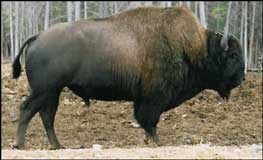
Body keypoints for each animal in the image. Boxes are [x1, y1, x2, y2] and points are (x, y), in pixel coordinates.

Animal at [11, 5, 245, 149]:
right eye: (233, 55)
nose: (242, 77)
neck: (196, 49)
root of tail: (37, 36)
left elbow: (146, 121)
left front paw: (150, 141)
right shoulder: (152, 99)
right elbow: (150, 121)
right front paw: (157, 142)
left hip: (53, 92)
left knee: (46, 115)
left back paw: (57, 146)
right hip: (44, 90)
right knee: (28, 110)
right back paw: (21, 144)